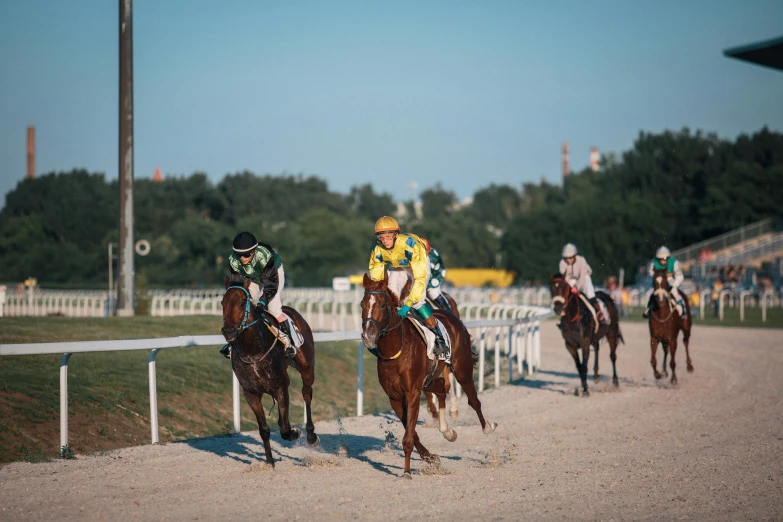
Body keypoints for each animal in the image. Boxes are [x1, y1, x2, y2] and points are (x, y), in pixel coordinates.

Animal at [220, 274, 318, 466]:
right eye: (222, 302)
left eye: (242, 303)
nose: (228, 331)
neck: (253, 350)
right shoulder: (250, 392)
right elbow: (264, 429)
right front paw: (270, 462)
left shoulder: (281, 386)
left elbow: (286, 430)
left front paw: (296, 432)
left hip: (307, 367)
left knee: (306, 393)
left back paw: (311, 435)